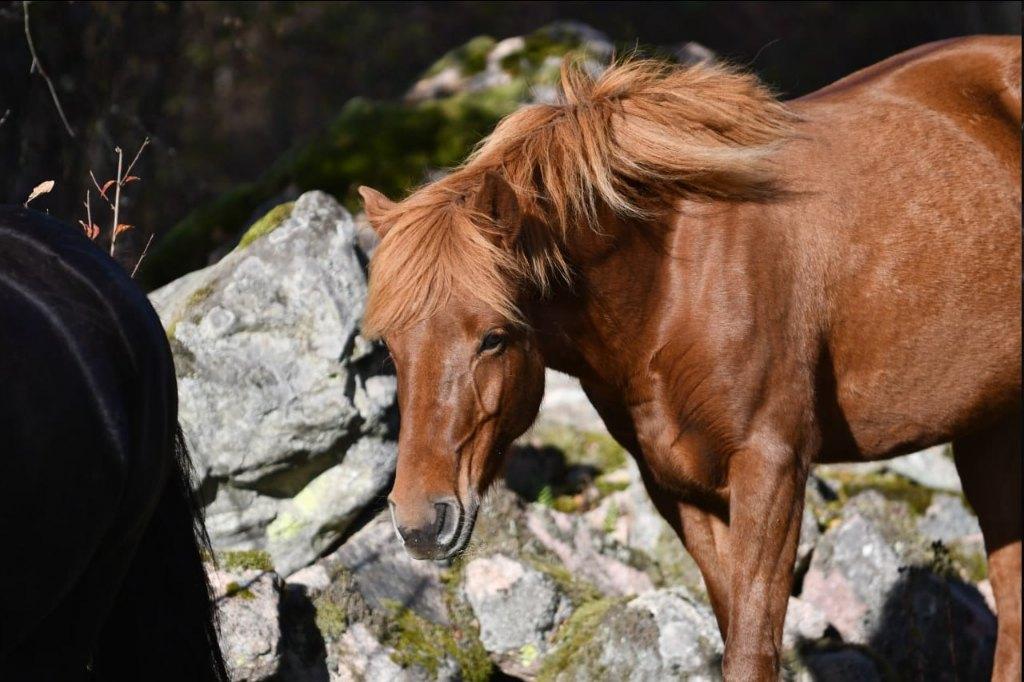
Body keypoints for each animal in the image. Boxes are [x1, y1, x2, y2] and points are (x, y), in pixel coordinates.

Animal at [359, 34, 1021, 680]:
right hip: (989, 433)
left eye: (493, 336)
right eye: (390, 345)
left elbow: (751, 652)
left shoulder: (771, 468)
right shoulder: (679, 487)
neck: (674, 278)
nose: (419, 524)